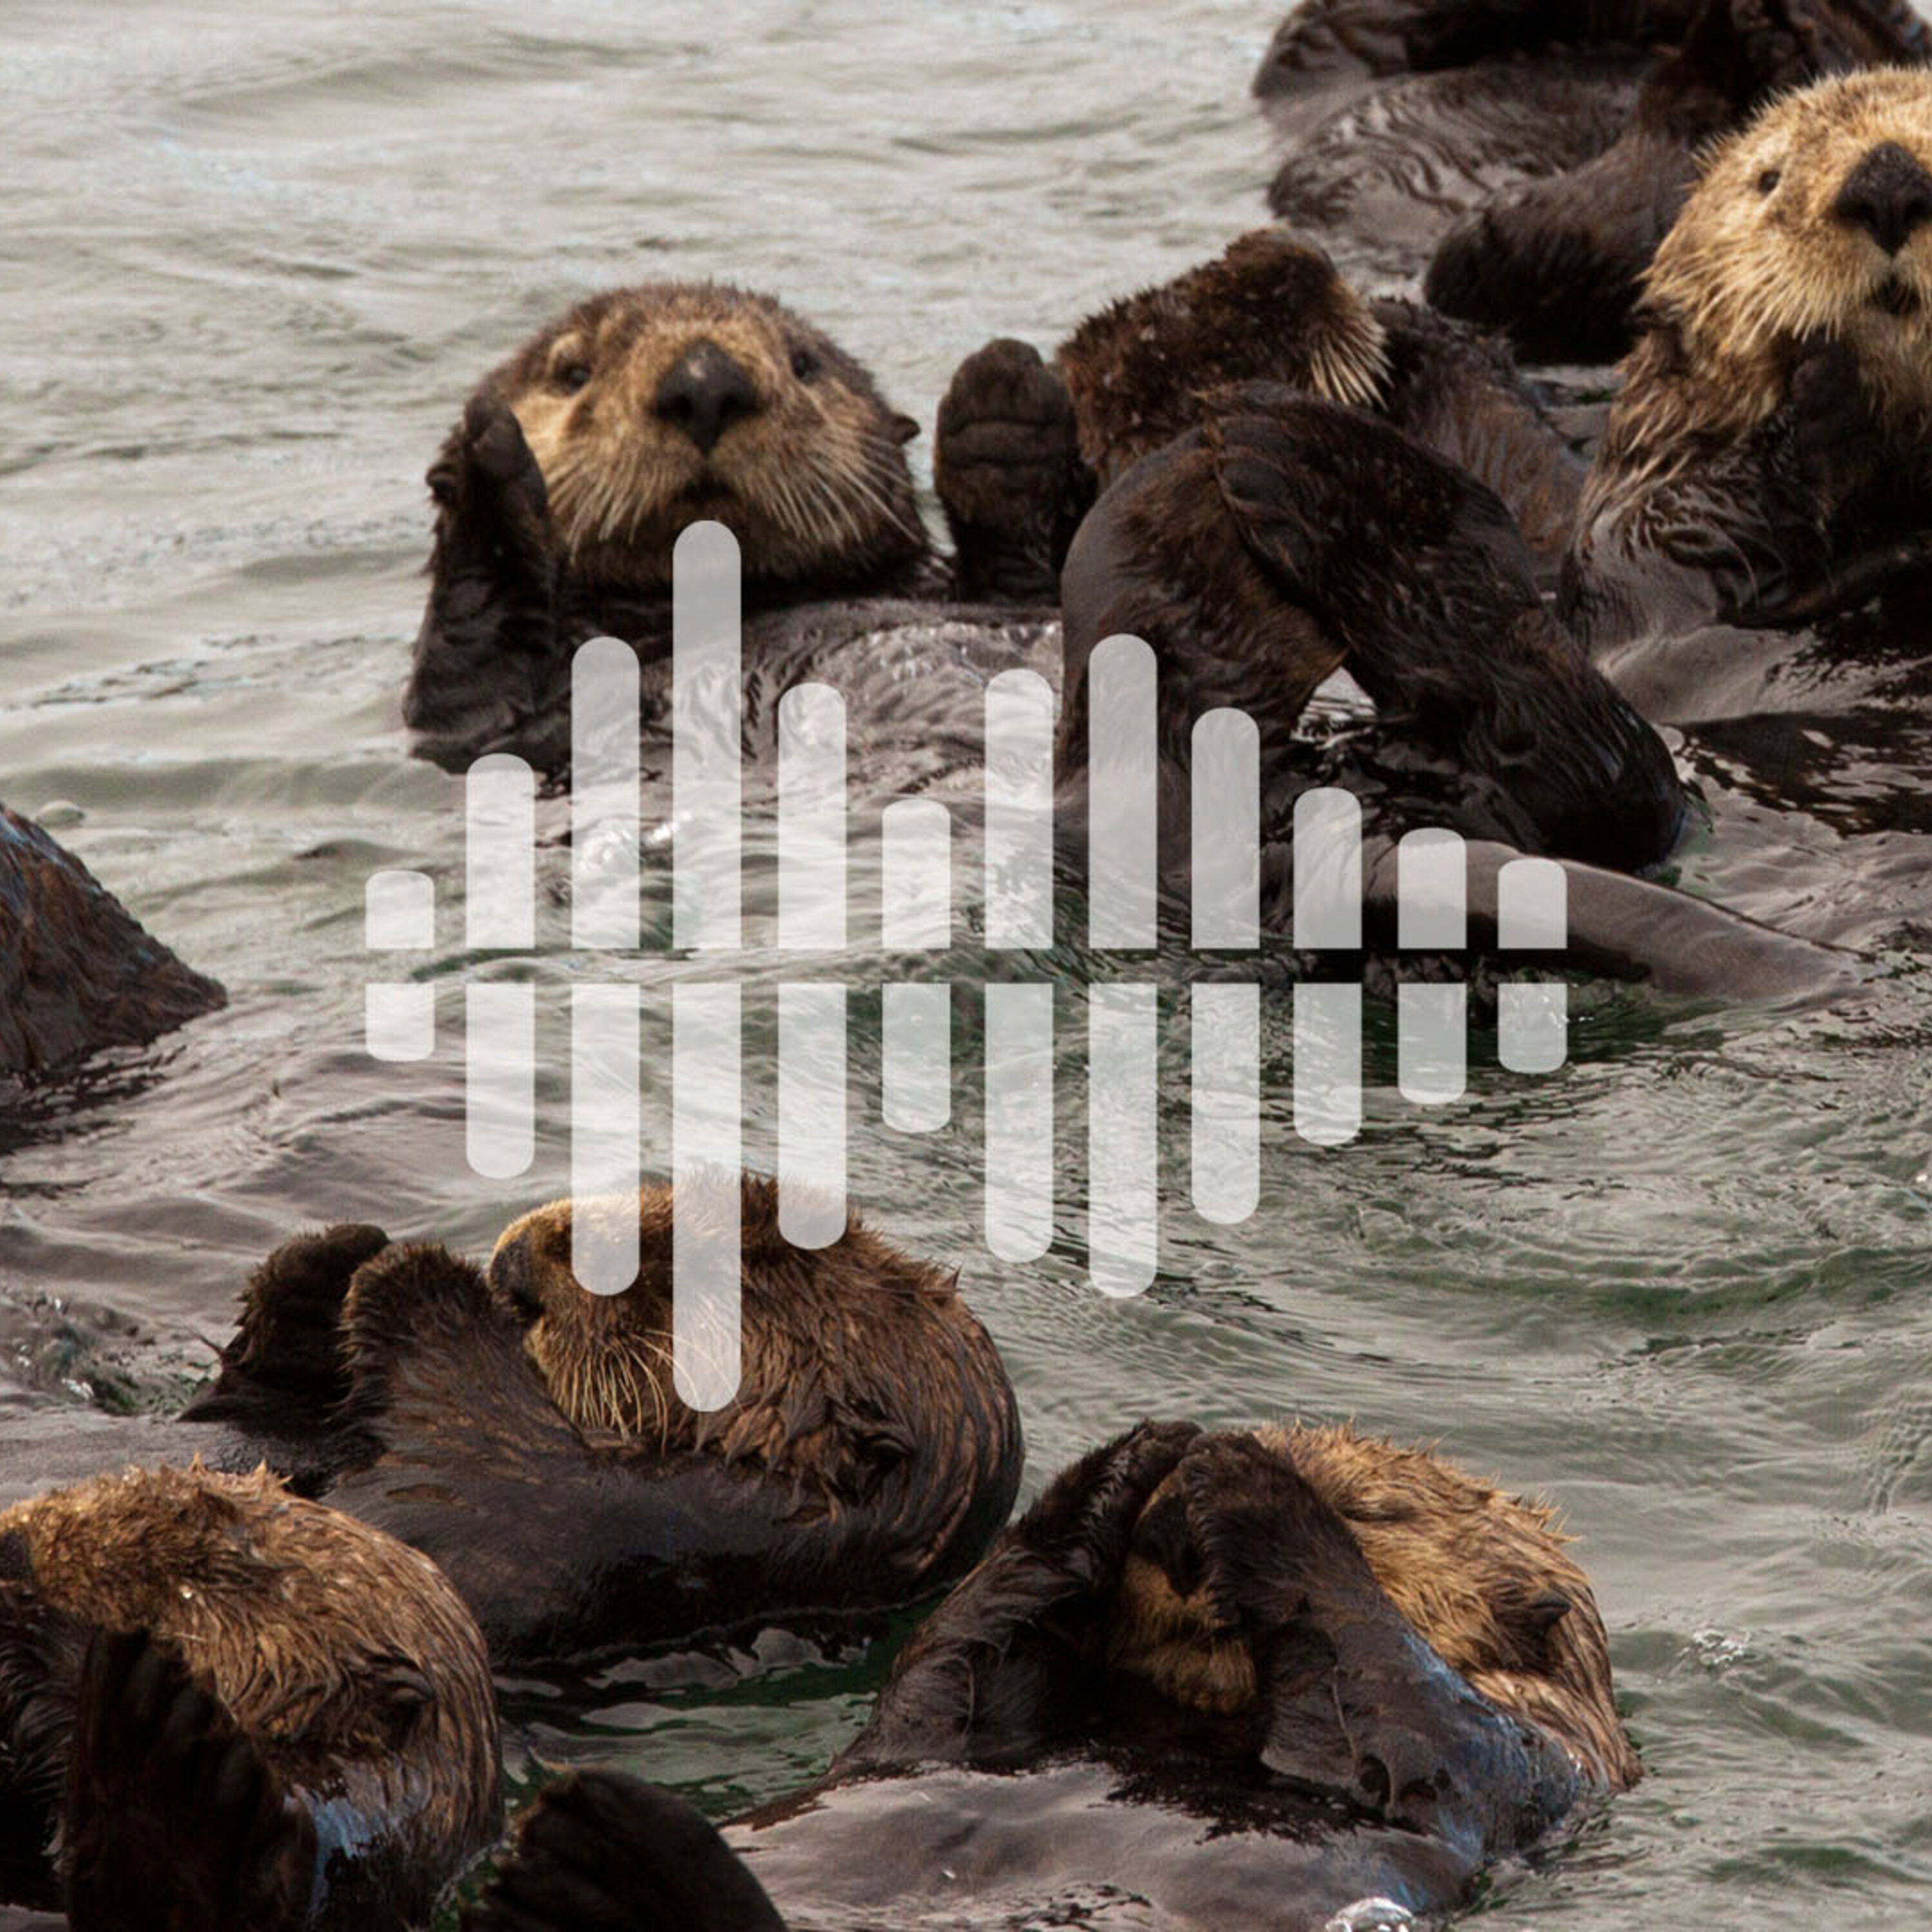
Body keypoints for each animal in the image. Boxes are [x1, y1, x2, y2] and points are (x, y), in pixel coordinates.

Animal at [463, 1420, 1636, 1932]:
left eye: (1377, 1510)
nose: (1169, 1532)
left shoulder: (1519, 1756)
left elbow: (1401, 1711)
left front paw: (1241, 1478)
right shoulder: (971, 1714)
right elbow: (953, 1673)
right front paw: (1134, 1463)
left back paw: (599, 1856)